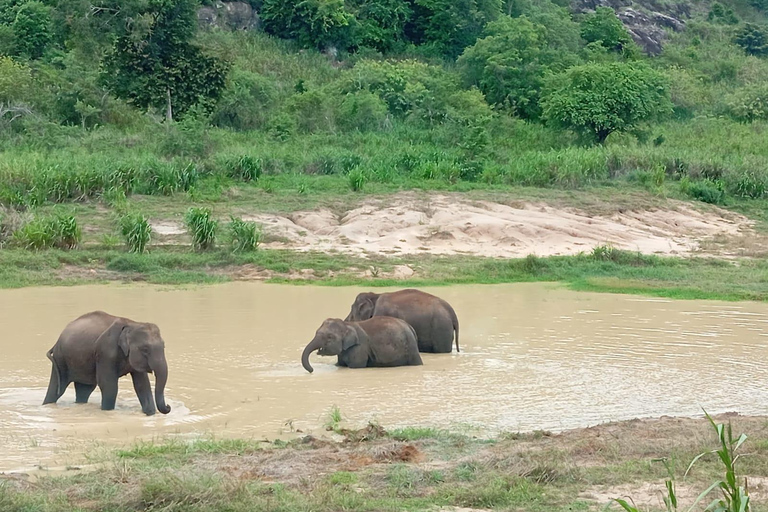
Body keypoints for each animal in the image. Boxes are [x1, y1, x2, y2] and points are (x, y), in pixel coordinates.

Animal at [42, 312, 172, 416]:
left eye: (164, 346)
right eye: (145, 349)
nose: (168, 406)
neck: (132, 324)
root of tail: (57, 342)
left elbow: (142, 385)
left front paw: (150, 414)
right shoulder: (105, 352)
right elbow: (109, 385)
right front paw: (107, 412)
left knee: (85, 390)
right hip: (60, 359)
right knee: (57, 390)